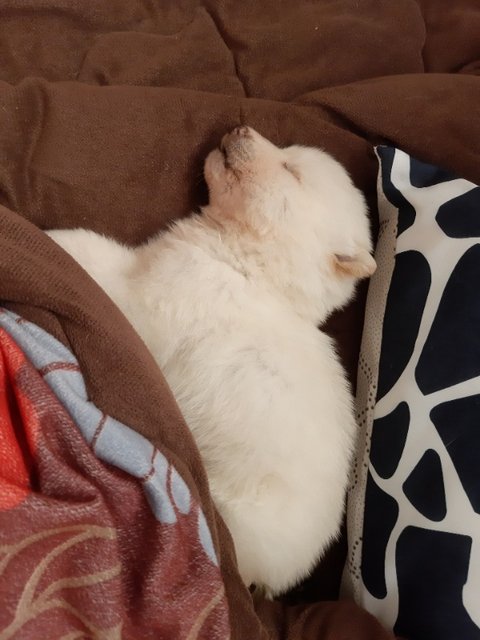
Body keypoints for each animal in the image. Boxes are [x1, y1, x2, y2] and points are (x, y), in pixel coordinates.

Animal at [47, 126, 376, 597]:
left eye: (291, 170)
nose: (241, 128)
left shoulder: (150, 300)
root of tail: (275, 577)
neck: (252, 267)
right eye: (288, 153)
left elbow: (92, 256)